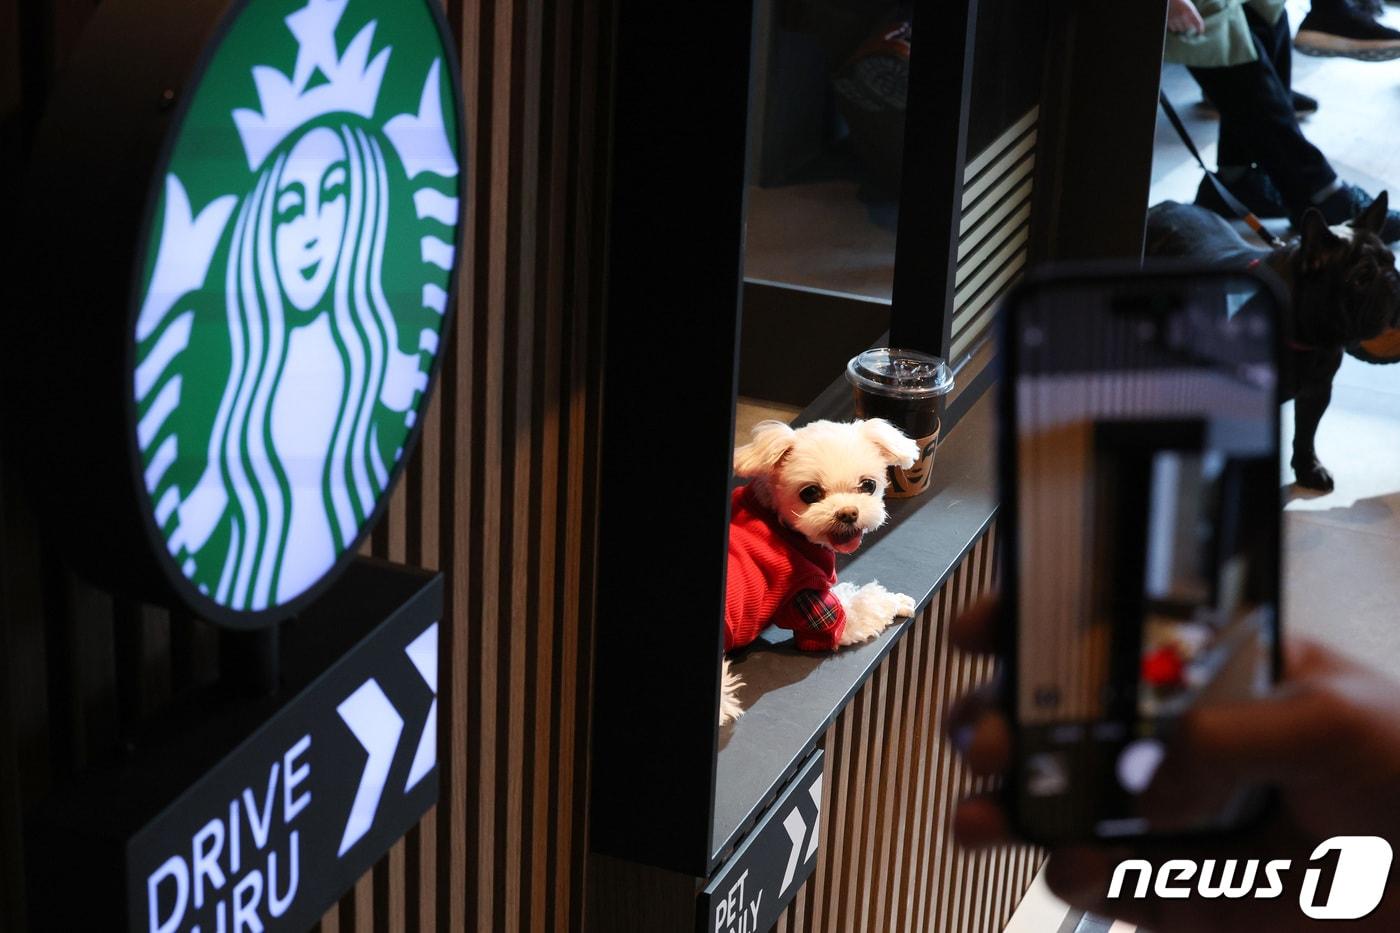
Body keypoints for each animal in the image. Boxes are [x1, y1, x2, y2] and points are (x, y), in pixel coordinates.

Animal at [722, 417, 929, 722]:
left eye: (868, 485)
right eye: (810, 493)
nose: (848, 513)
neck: (779, 522)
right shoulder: (811, 602)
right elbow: (863, 607)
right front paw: (897, 601)